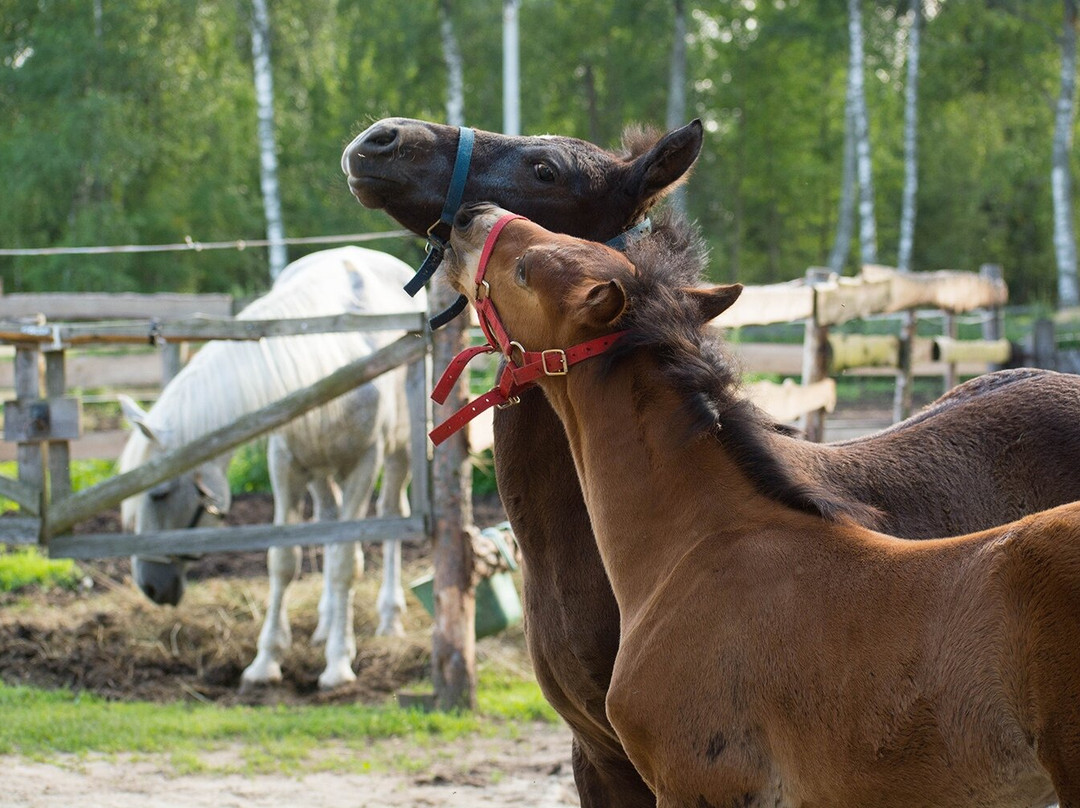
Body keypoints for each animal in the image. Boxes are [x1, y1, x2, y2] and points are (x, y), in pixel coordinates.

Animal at [118, 246, 421, 687]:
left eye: (159, 493)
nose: (149, 586)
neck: (332, 358)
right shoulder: (285, 467)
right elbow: (283, 561)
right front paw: (267, 660)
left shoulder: (365, 465)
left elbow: (345, 564)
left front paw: (338, 665)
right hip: (318, 473)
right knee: (328, 524)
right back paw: (326, 623)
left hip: (400, 455)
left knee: (392, 514)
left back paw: (388, 618)